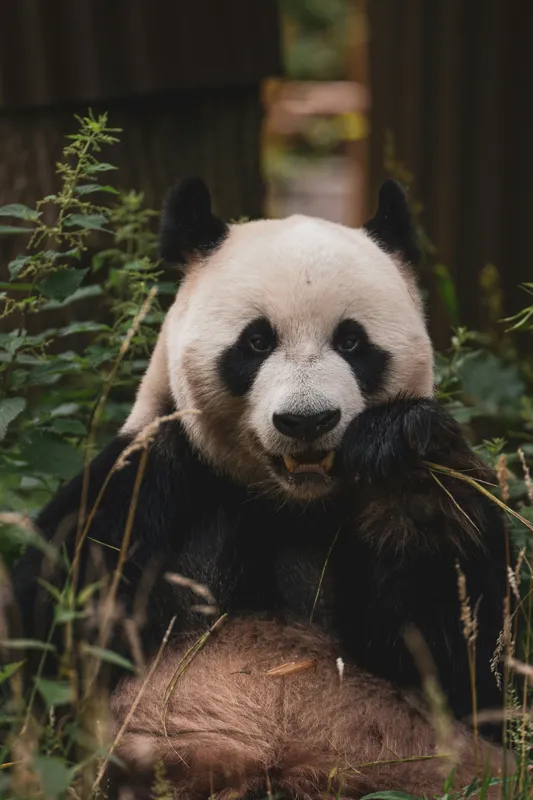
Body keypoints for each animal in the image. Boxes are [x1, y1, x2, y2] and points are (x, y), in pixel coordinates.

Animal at [8, 178, 512, 799]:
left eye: (352, 342)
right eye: (255, 342)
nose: (307, 420)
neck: (287, 502)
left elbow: (464, 661)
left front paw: (404, 461)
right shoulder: (149, 483)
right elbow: (43, 632)